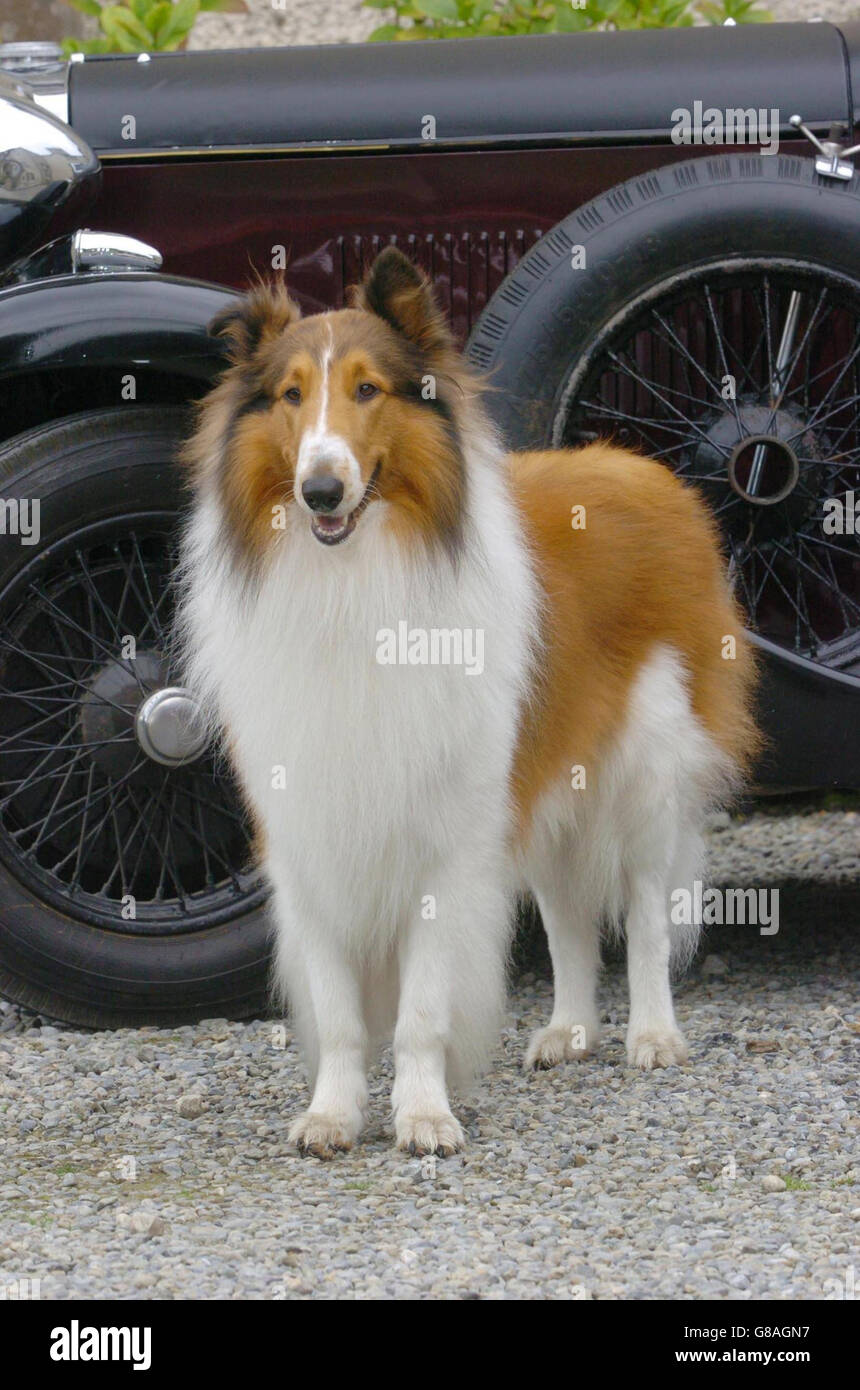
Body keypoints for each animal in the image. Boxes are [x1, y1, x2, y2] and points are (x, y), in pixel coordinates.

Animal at [177, 244, 755, 1156]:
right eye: (291, 395)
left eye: (369, 389)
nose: (320, 491)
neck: (355, 584)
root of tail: (644, 466)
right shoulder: (308, 831)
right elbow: (340, 1014)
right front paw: (333, 1116)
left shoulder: (446, 839)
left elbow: (420, 1011)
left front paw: (423, 1116)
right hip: (548, 778)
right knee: (567, 919)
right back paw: (568, 1032)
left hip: (644, 769)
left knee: (644, 913)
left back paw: (652, 1036)